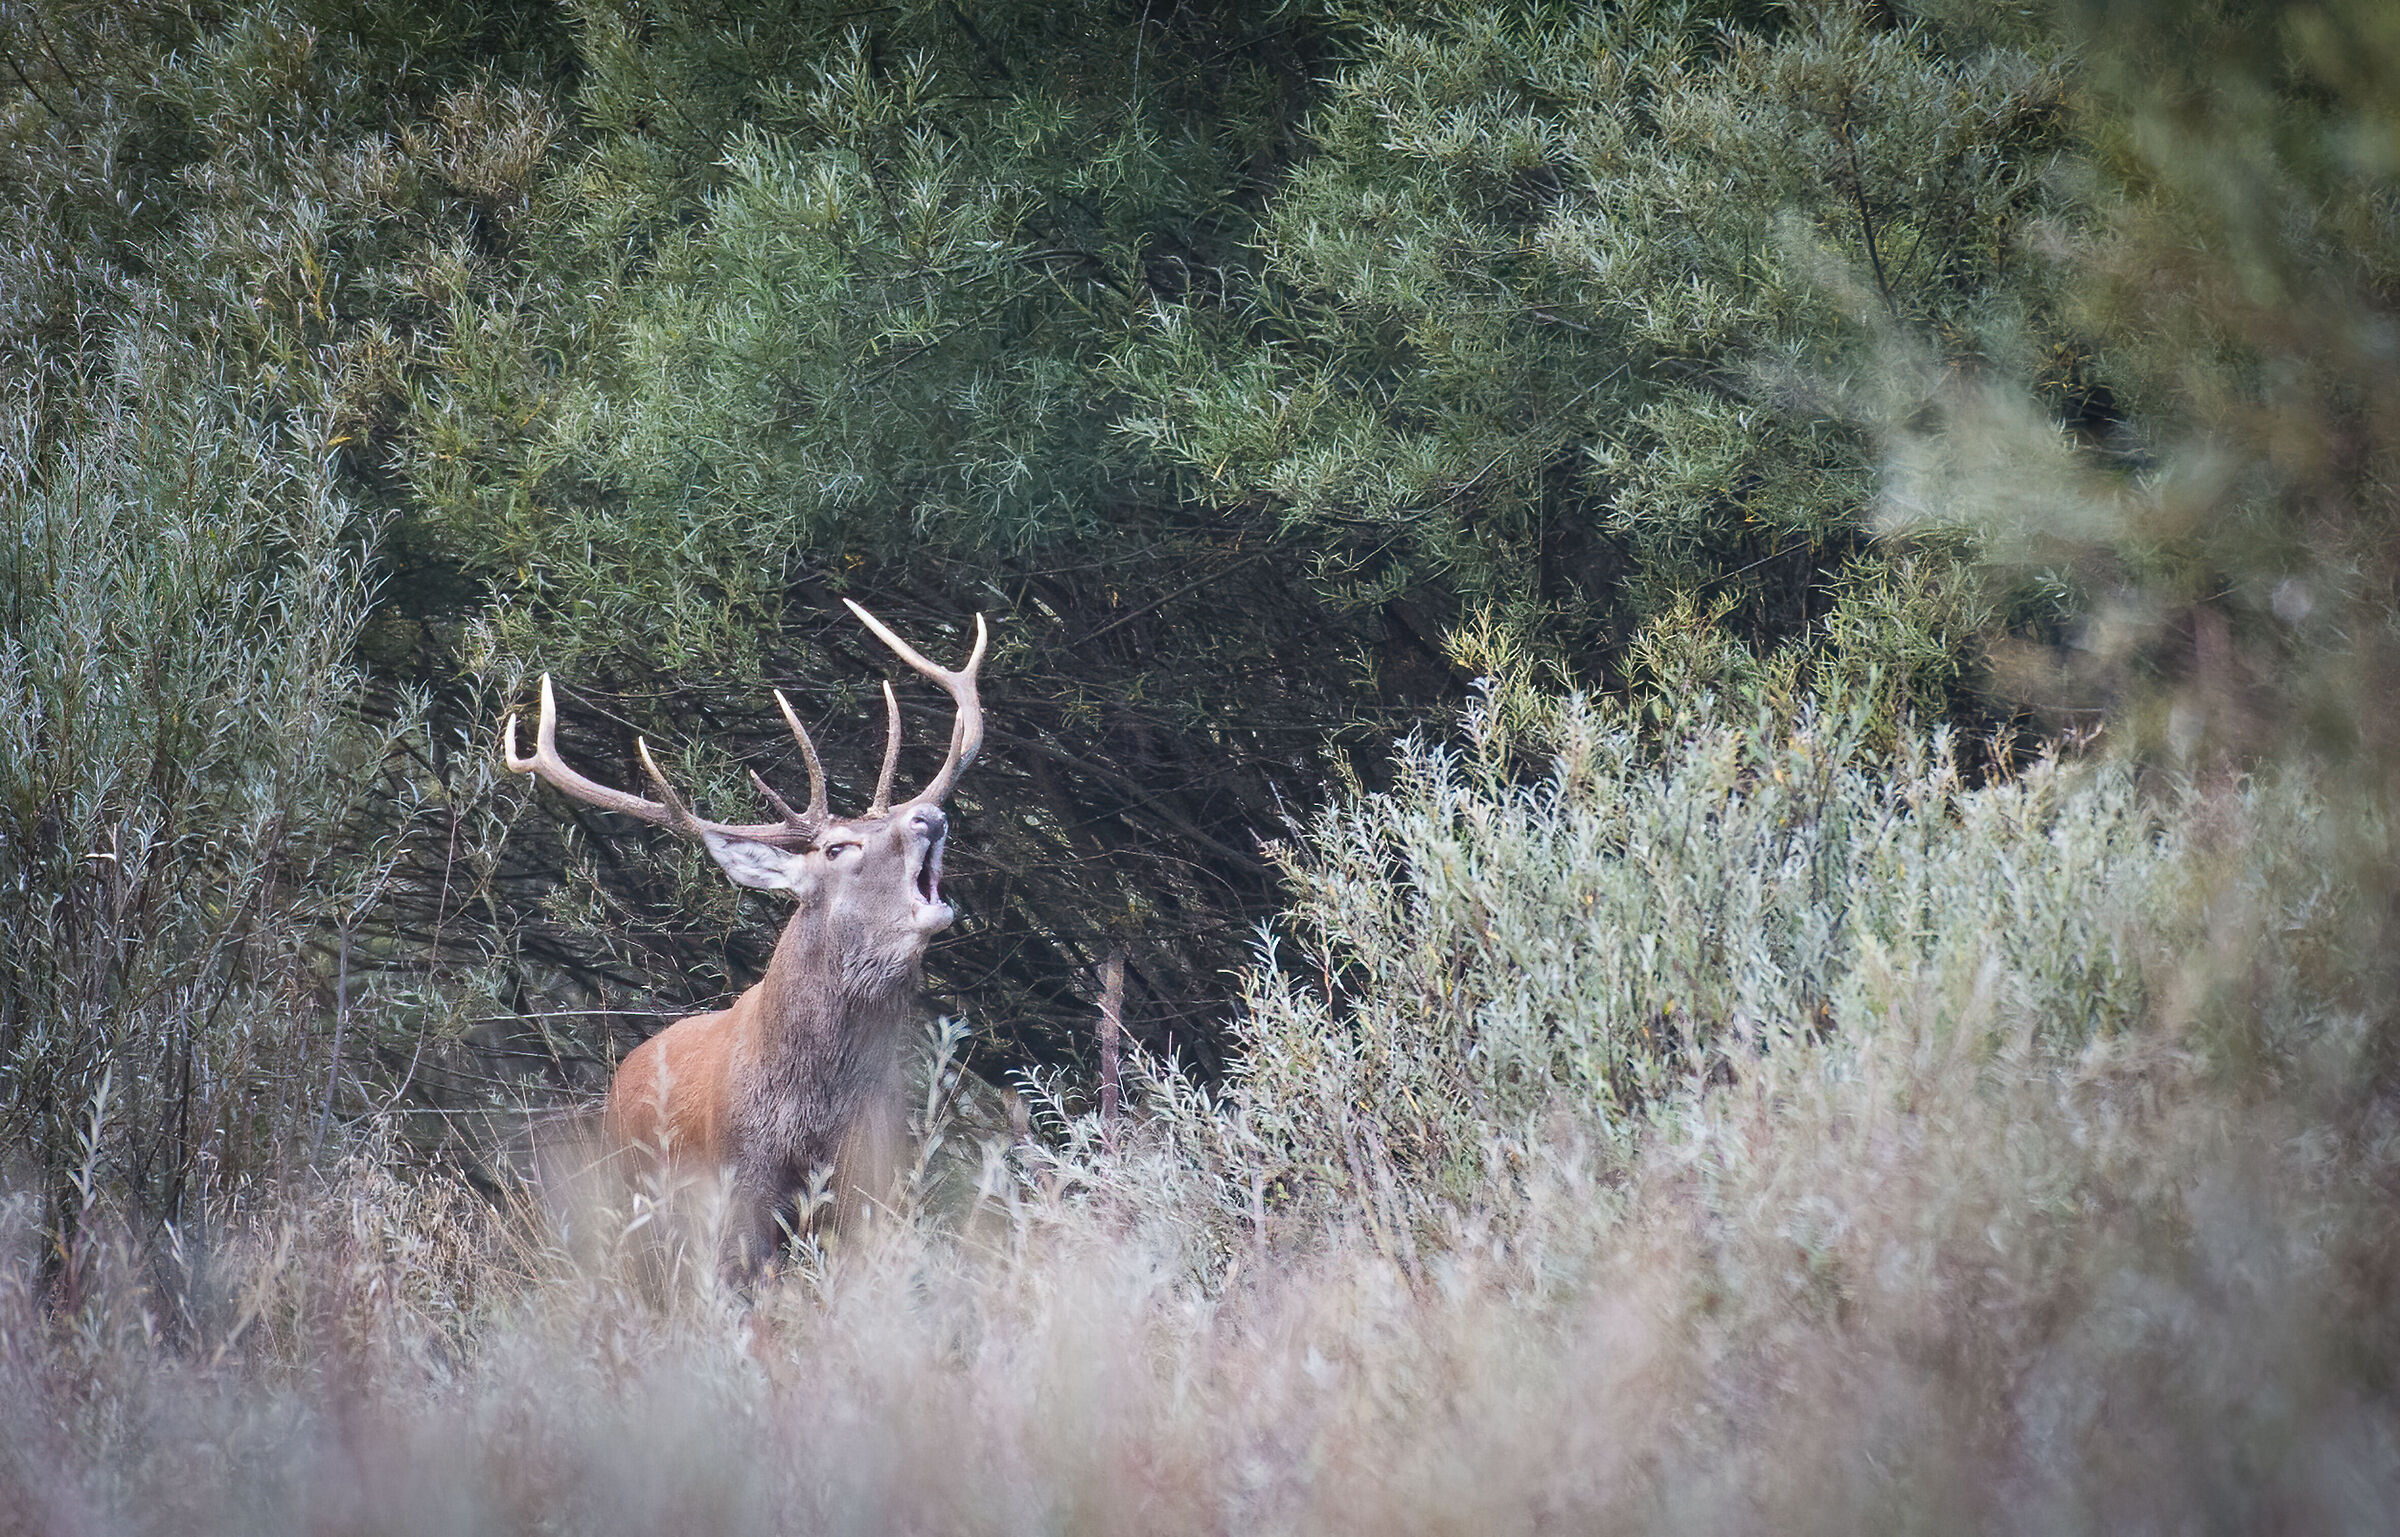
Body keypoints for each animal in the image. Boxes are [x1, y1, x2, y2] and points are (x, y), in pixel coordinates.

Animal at [503, 600, 986, 1278]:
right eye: (837, 848)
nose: (930, 816)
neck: (811, 1113)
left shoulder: (873, 1185)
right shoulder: (737, 1194)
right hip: (632, 1203)